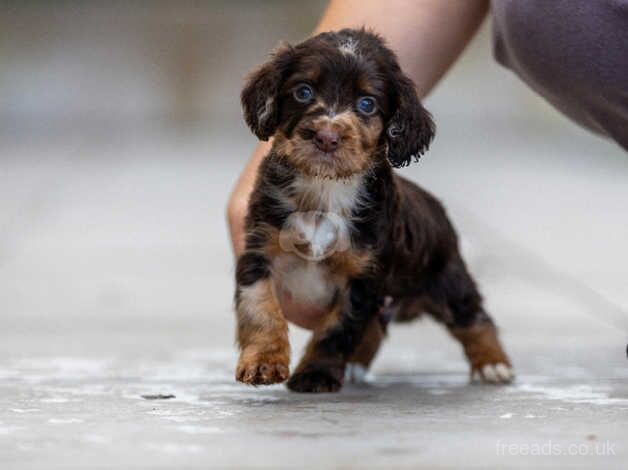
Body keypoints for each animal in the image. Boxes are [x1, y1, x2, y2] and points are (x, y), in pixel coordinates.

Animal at [233, 27, 512, 392]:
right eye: (303, 91)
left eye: (367, 104)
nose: (326, 137)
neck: (325, 189)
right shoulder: (259, 251)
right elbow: (260, 309)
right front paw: (263, 362)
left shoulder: (364, 279)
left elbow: (337, 331)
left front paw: (316, 374)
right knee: (377, 329)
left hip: (448, 281)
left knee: (474, 318)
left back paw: (492, 364)